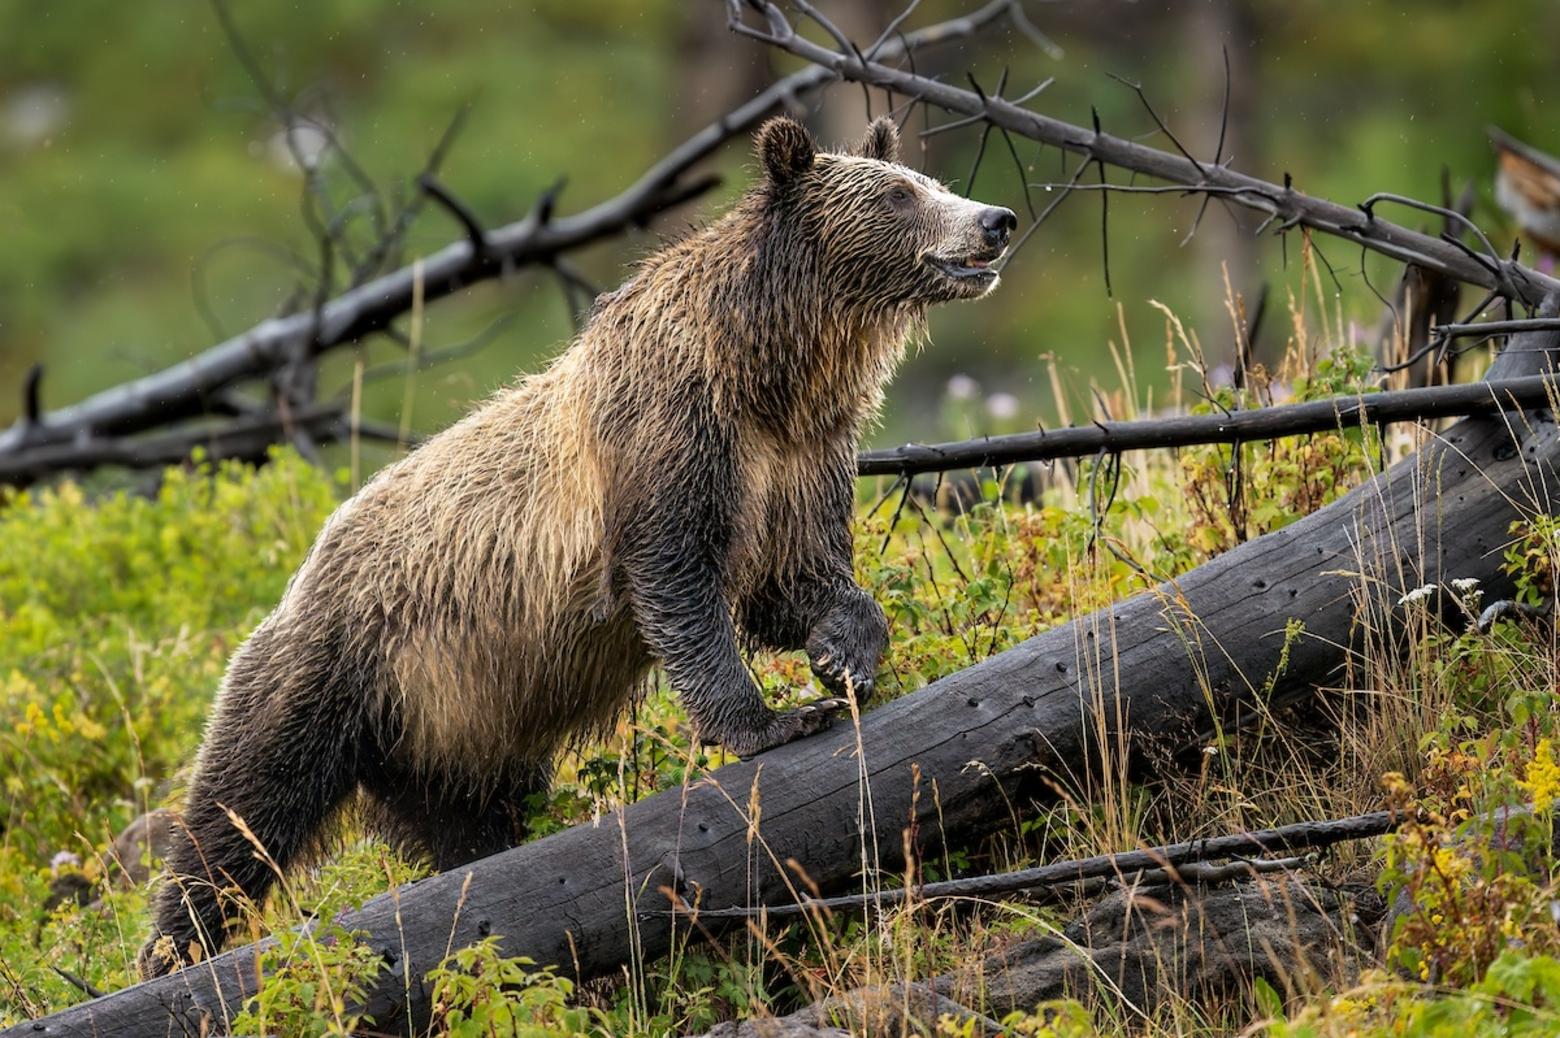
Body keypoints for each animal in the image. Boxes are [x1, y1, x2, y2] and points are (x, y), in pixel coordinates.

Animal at [140, 117, 1017, 974]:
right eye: (902, 194)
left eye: (930, 179)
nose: (995, 220)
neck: (769, 372)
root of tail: (300, 577)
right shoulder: (670, 436)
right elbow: (678, 578)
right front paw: (772, 720)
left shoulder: (800, 462)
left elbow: (799, 580)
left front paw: (844, 658)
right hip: (336, 670)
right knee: (241, 810)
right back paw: (172, 948)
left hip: (451, 729)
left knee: (468, 828)